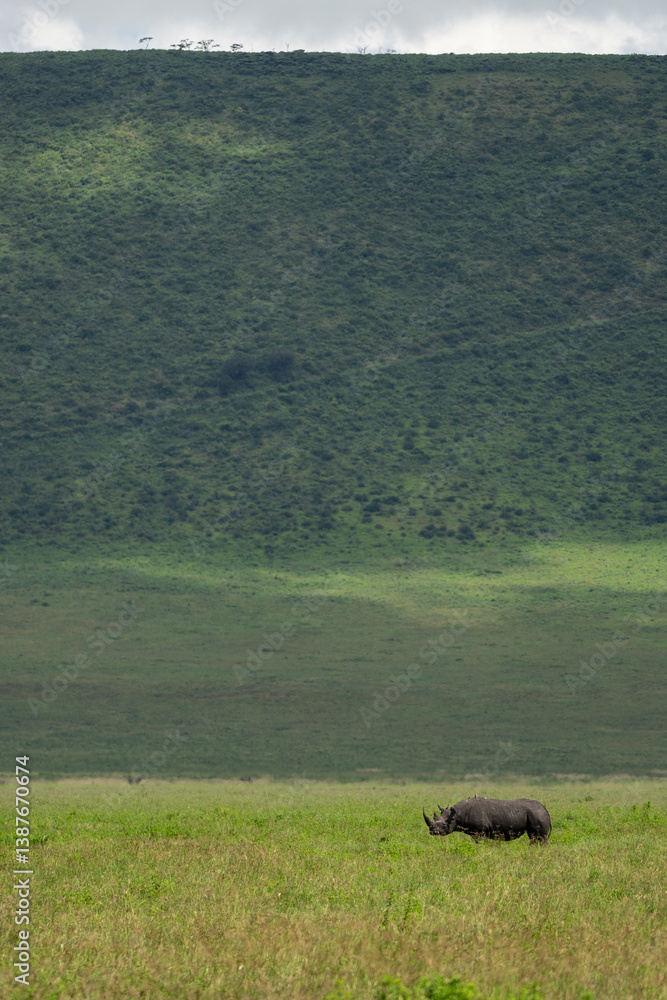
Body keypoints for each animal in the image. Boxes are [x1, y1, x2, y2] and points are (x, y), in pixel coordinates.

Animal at [423, 796, 551, 845]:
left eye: (444, 824)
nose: (433, 832)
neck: (457, 814)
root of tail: (544, 808)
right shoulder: (475, 833)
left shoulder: (481, 832)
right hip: (536, 813)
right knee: (533, 837)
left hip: (537, 814)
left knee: (540, 837)